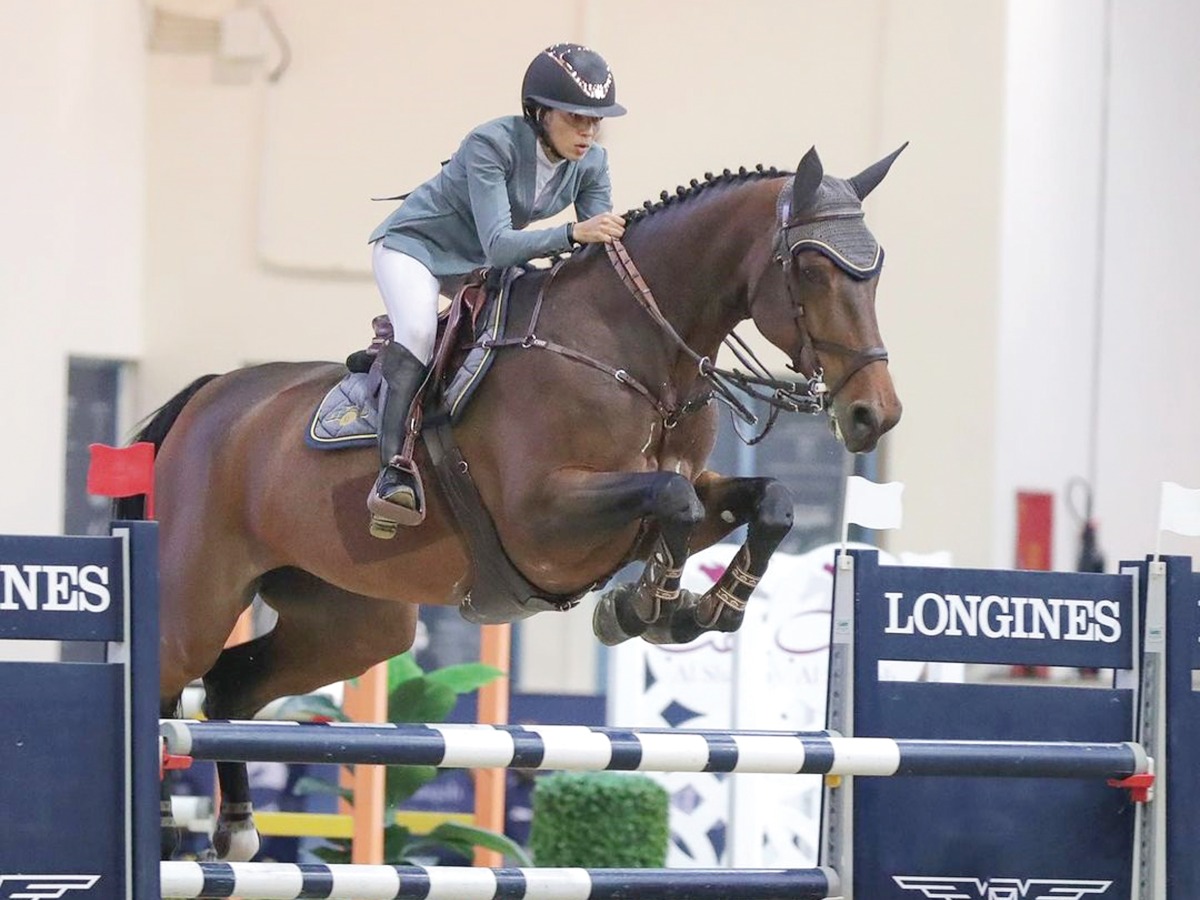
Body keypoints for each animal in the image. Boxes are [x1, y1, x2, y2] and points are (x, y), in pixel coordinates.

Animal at [129, 142, 902, 859]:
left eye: (877, 268)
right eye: (811, 267)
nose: (874, 415)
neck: (635, 354)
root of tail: (207, 397)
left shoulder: (680, 492)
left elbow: (766, 502)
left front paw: (700, 609)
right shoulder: (543, 519)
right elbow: (672, 499)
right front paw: (645, 608)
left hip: (354, 622)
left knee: (230, 686)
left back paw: (234, 830)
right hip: (199, 598)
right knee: (168, 682)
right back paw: (165, 828)